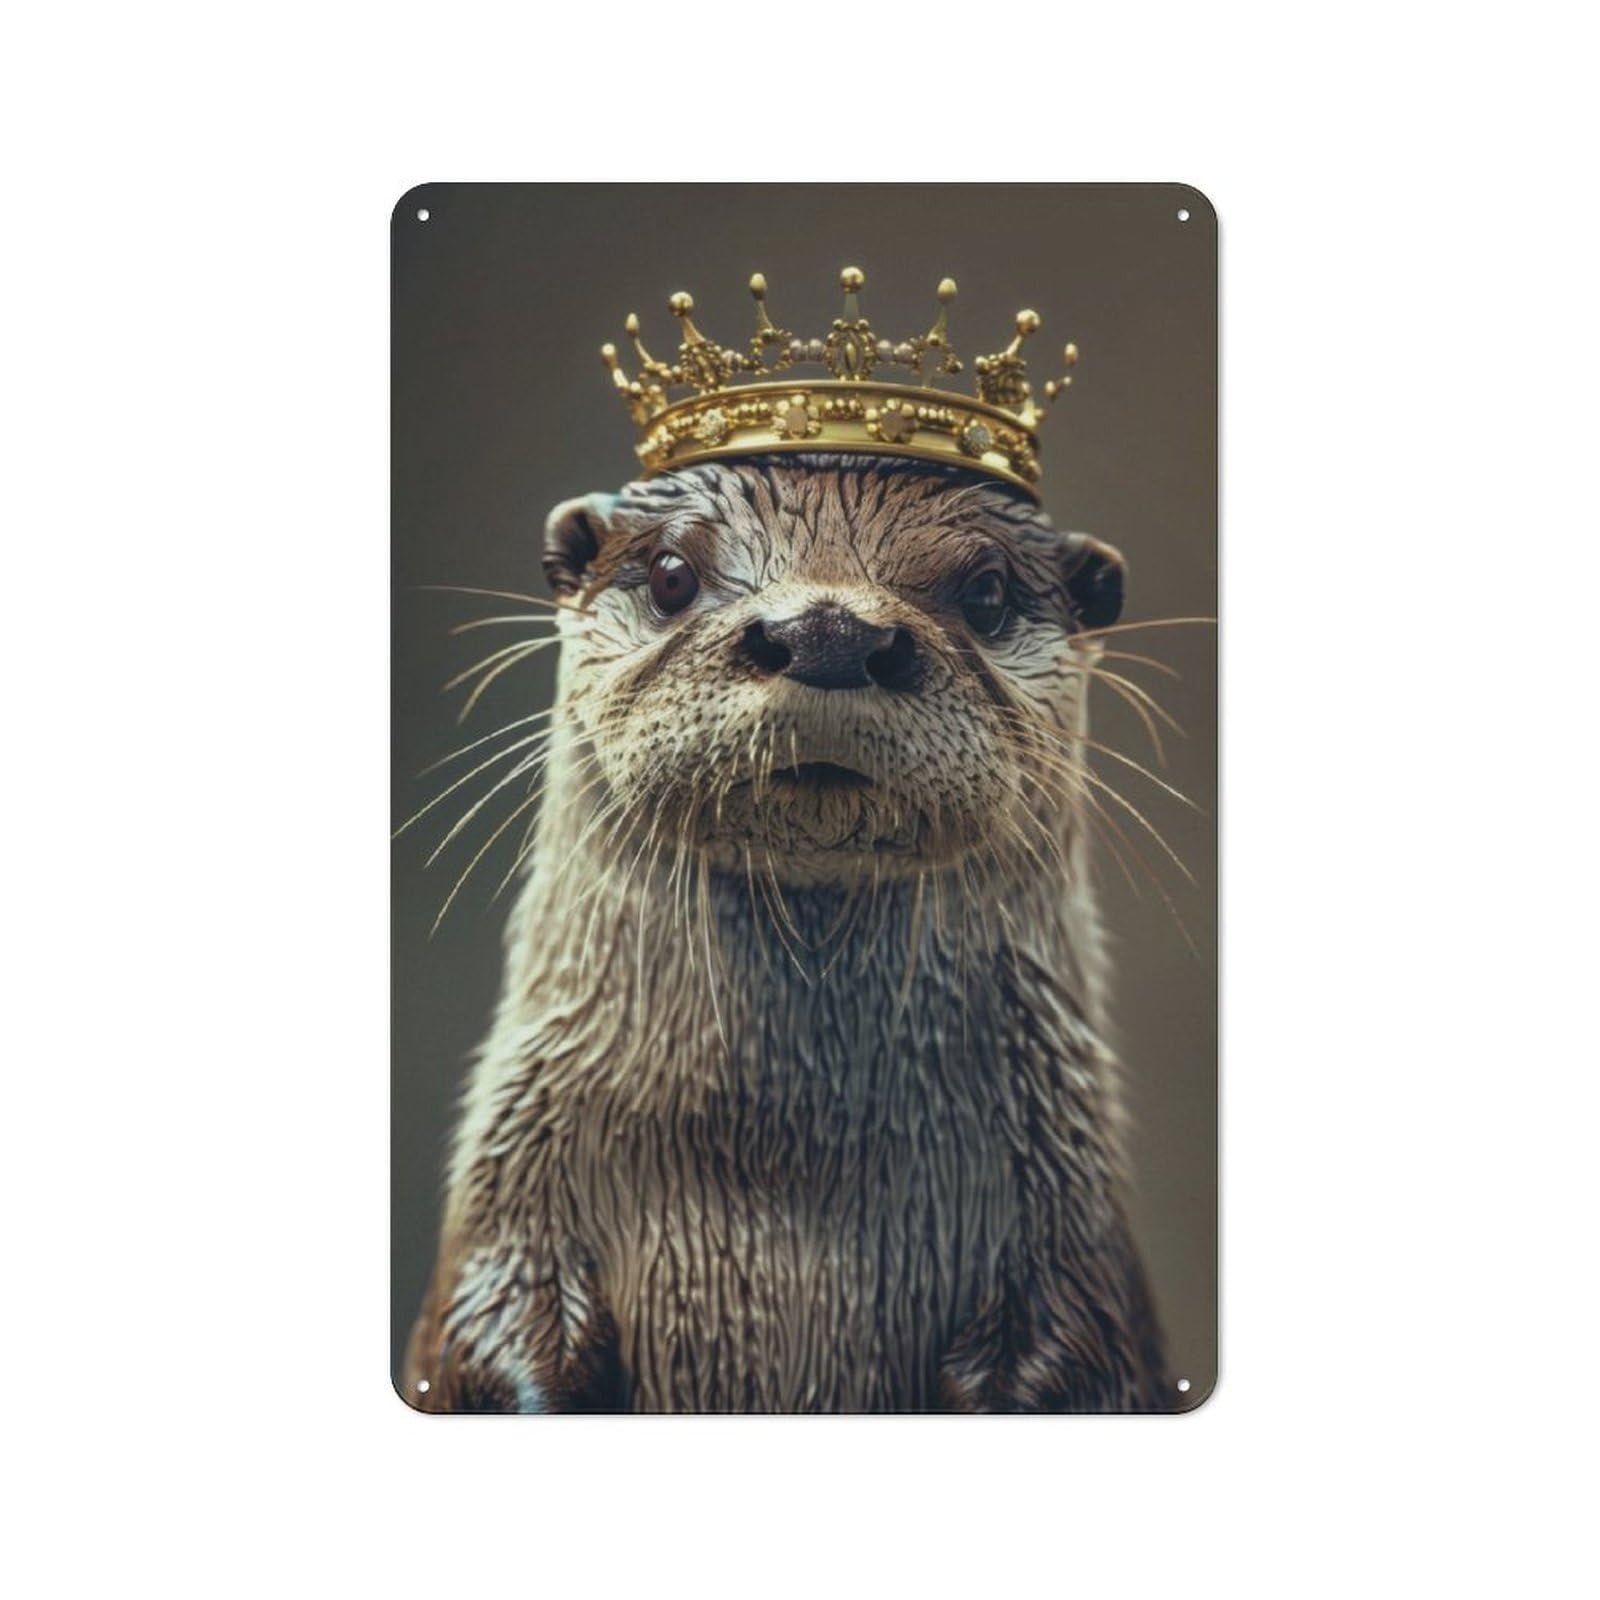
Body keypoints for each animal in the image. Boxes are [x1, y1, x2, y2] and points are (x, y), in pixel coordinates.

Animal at [404, 454, 1169, 1412]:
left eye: (988, 591)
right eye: (670, 574)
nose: (828, 634)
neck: (791, 1168)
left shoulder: (1073, 1254)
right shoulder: (510, 1212)